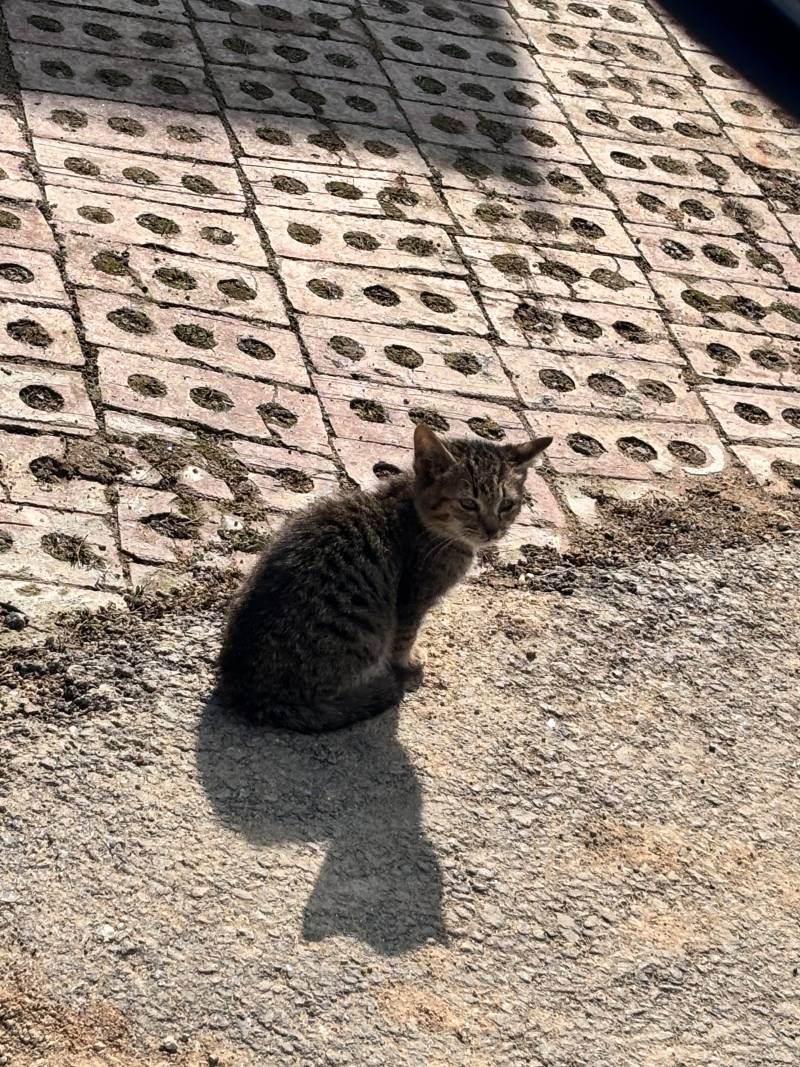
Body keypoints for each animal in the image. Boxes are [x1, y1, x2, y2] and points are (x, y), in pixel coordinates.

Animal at [214, 424, 550, 734]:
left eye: (507, 505)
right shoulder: (412, 601)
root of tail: (254, 694)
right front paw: (408, 662)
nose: (493, 531)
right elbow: (404, 638)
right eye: (468, 503)